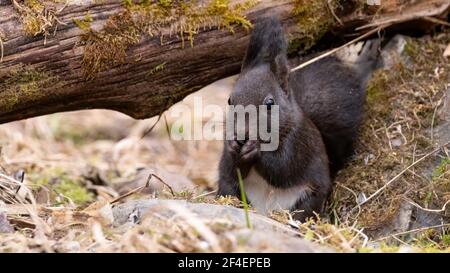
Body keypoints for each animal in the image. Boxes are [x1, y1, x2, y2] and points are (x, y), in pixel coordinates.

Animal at [218, 17, 372, 220]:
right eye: (229, 100)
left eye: (270, 103)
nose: (242, 135)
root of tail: (266, 211)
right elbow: (234, 169)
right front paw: (233, 146)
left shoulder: (298, 142)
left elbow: (282, 168)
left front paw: (256, 149)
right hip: (229, 189)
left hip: (310, 196)